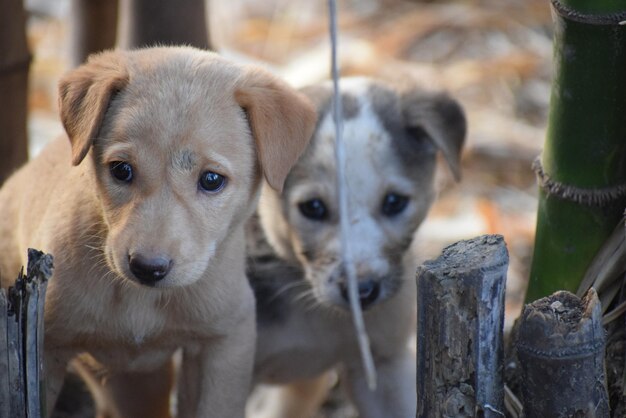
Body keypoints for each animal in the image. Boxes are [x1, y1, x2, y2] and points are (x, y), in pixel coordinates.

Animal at [0, 46, 314, 418]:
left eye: (212, 180)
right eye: (121, 170)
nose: (147, 268)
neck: (141, 299)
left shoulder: (224, 342)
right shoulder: (46, 347)